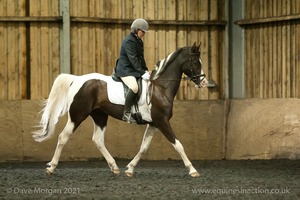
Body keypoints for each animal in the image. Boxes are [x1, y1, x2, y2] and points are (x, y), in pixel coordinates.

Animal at [32, 42, 206, 177]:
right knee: (63, 137)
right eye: (195, 61)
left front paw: (130, 168)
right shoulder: (162, 121)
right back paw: (51, 167)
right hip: (77, 116)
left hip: (100, 115)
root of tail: (77, 79)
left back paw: (114, 167)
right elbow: (178, 145)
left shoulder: (154, 123)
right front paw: (192, 170)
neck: (160, 87)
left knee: (98, 140)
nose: (203, 82)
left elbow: (144, 147)